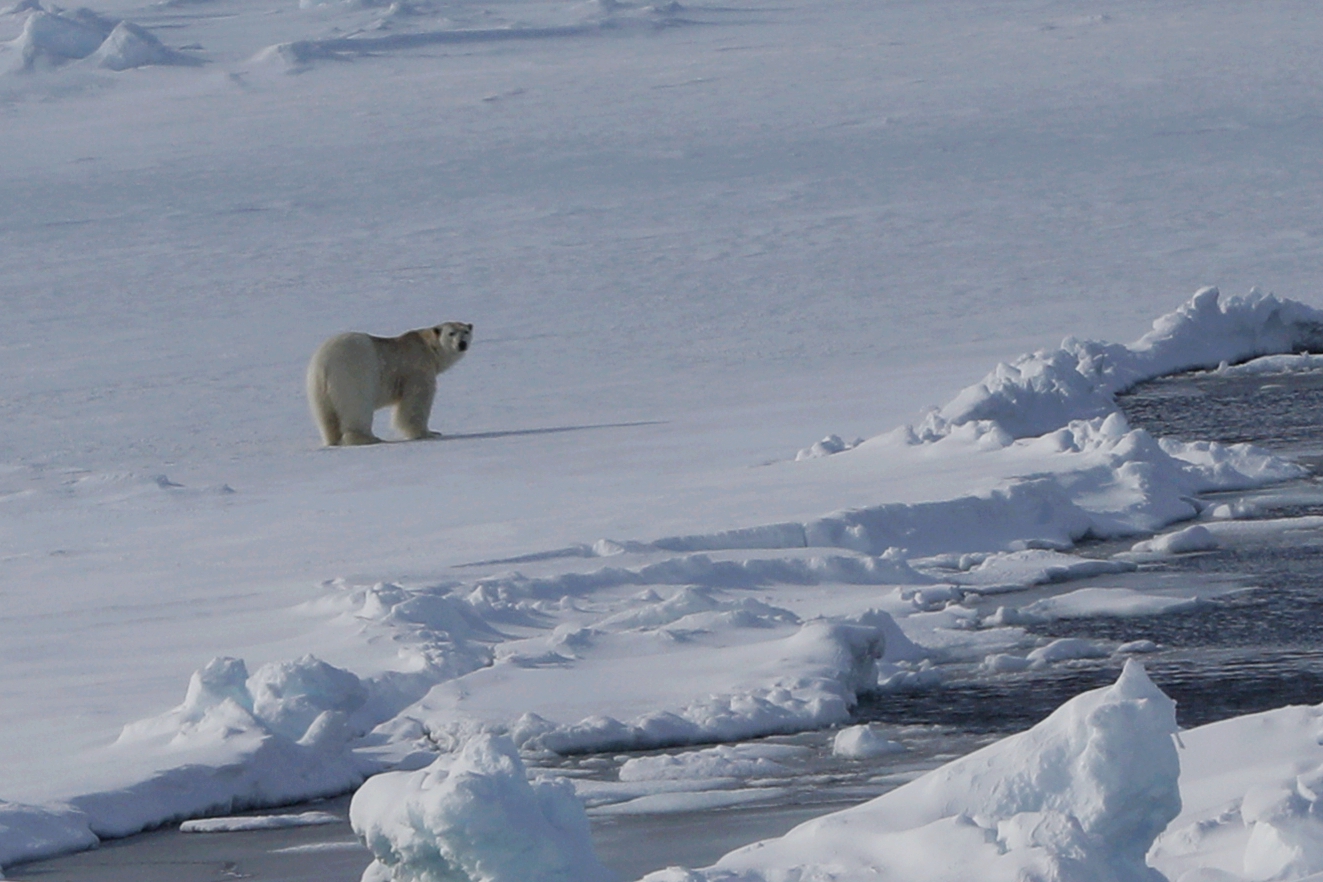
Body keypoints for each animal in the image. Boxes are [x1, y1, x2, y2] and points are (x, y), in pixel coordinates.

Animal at [306, 322, 473, 449]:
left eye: (466, 331)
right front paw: (429, 433)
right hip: (354, 375)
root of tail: (324, 365)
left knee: (326, 416)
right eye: (451, 333)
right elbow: (416, 401)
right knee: (357, 407)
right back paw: (369, 438)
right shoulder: (417, 368)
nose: (462, 344)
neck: (426, 346)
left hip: (316, 386)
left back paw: (333, 440)